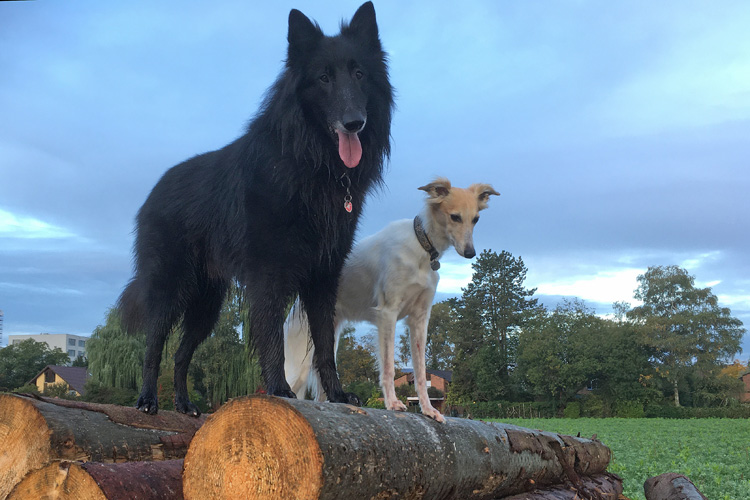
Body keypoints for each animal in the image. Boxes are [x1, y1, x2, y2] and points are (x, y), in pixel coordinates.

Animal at [119, 2, 394, 418]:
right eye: (323, 78)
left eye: (359, 74)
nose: (354, 123)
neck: (310, 165)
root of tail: (155, 189)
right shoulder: (270, 275)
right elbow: (271, 338)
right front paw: (280, 389)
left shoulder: (323, 276)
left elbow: (324, 343)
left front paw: (337, 394)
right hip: (170, 289)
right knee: (154, 348)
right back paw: (148, 400)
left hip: (207, 306)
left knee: (181, 356)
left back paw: (184, 405)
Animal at [282, 178, 500, 420]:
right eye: (455, 217)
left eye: (476, 219)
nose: (470, 253)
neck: (421, 246)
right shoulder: (388, 312)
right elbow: (387, 368)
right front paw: (393, 403)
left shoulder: (419, 319)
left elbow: (421, 373)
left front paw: (428, 409)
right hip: (298, 362)